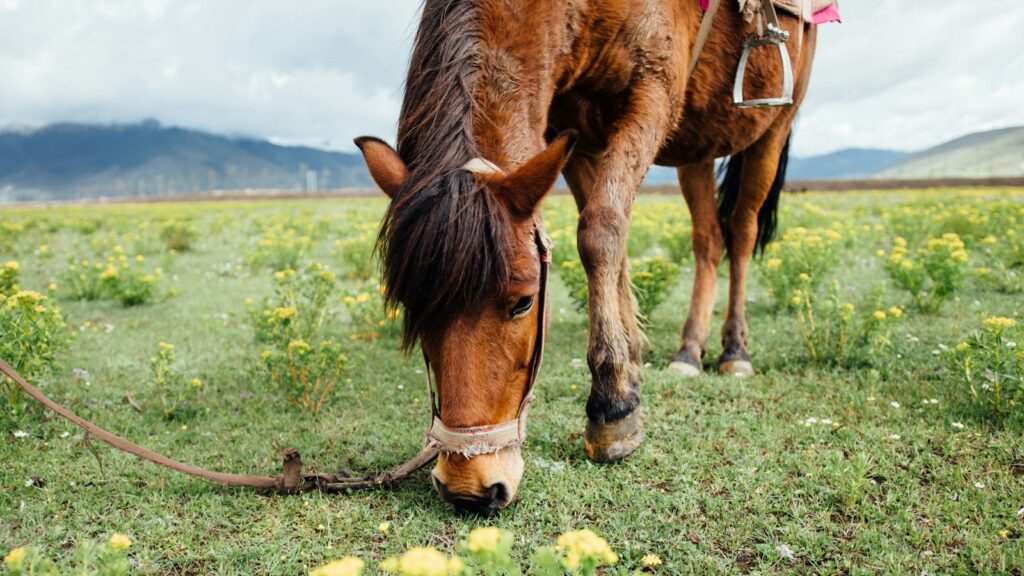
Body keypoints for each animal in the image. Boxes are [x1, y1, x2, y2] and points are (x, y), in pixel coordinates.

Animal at [355, 0, 819, 514]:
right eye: (412, 307)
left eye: (524, 302)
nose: (469, 488)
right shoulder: (572, 129)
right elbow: (608, 234)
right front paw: (630, 359)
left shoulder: (654, 90)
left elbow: (599, 230)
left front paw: (613, 405)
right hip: (697, 146)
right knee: (707, 237)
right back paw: (689, 350)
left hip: (772, 129)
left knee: (740, 232)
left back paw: (735, 349)